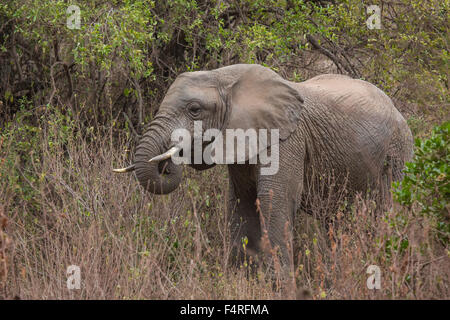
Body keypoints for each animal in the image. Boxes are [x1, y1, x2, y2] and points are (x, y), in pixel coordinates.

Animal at [114, 63, 414, 282]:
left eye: (194, 110)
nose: (170, 158)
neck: (226, 77)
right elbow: (243, 204)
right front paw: (241, 281)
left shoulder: (288, 141)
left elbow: (273, 201)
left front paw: (279, 285)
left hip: (398, 157)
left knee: (386, 213)